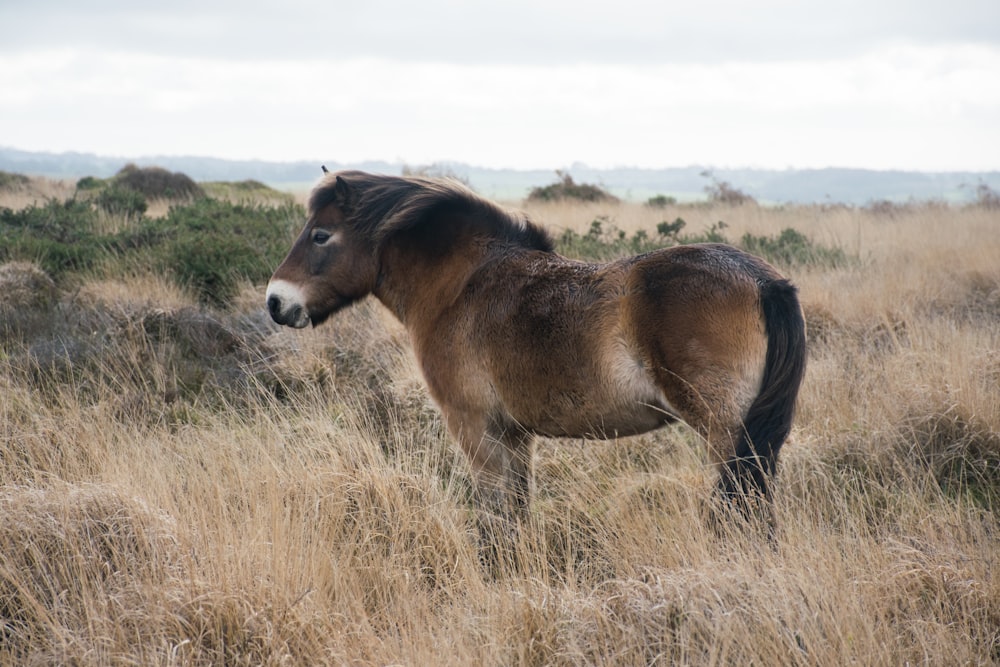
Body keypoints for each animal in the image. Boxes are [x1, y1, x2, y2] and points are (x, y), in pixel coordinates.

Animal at [264, 171, 804, 520]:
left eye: (320, 235)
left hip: (725, 434)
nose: (276, 301)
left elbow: (494, 518)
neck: (463, 285)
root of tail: (764, 280)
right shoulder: (515, 435)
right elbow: (519, 512)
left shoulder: (475, 429)